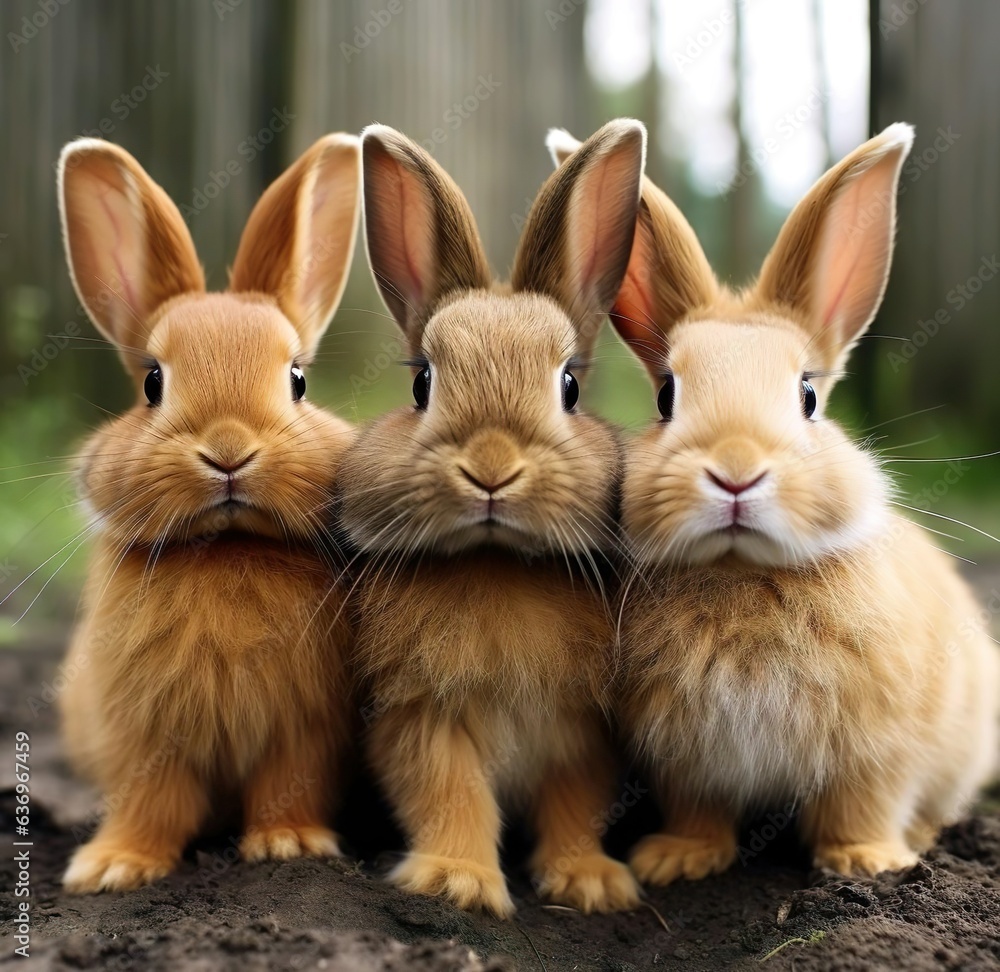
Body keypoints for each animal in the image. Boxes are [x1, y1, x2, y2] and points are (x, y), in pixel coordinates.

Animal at [55, 133, 362, 893]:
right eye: (152, 383)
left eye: (298, 381)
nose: (228, 451)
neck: (227, 546)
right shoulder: (144, 733)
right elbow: (151, 802)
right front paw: (116, 866)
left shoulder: (304, 730)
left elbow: (288, 785)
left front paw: (290, 846)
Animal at [334, 119, 648, 916]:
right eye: (422, 382)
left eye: (569, 387)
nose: (492, 468)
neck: (496, 558)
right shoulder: (421, 715)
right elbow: (449, 792)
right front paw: (457, 883)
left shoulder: (582, 733)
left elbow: (576, 804)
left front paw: (590, 883)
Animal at [548, 122, 1000, 884]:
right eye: (666, 397)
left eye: (809, 396)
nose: (736, 474)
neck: (743, 572)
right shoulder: (689, 760)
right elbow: (699, 810)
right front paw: (676, 860)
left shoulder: (877, 753)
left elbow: (862, 804)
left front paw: (863, 863)